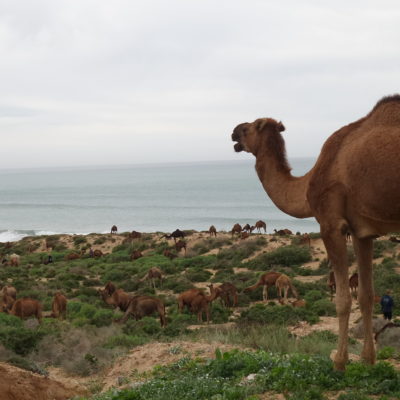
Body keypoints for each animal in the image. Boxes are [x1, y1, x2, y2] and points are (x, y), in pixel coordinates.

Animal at [230, 94, 400, 368]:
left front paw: (339, 362)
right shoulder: (362, 231)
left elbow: (342, 299)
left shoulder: (330, 224)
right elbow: (365, 295)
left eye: (249, 127)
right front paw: (368, 360)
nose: (233, 132)